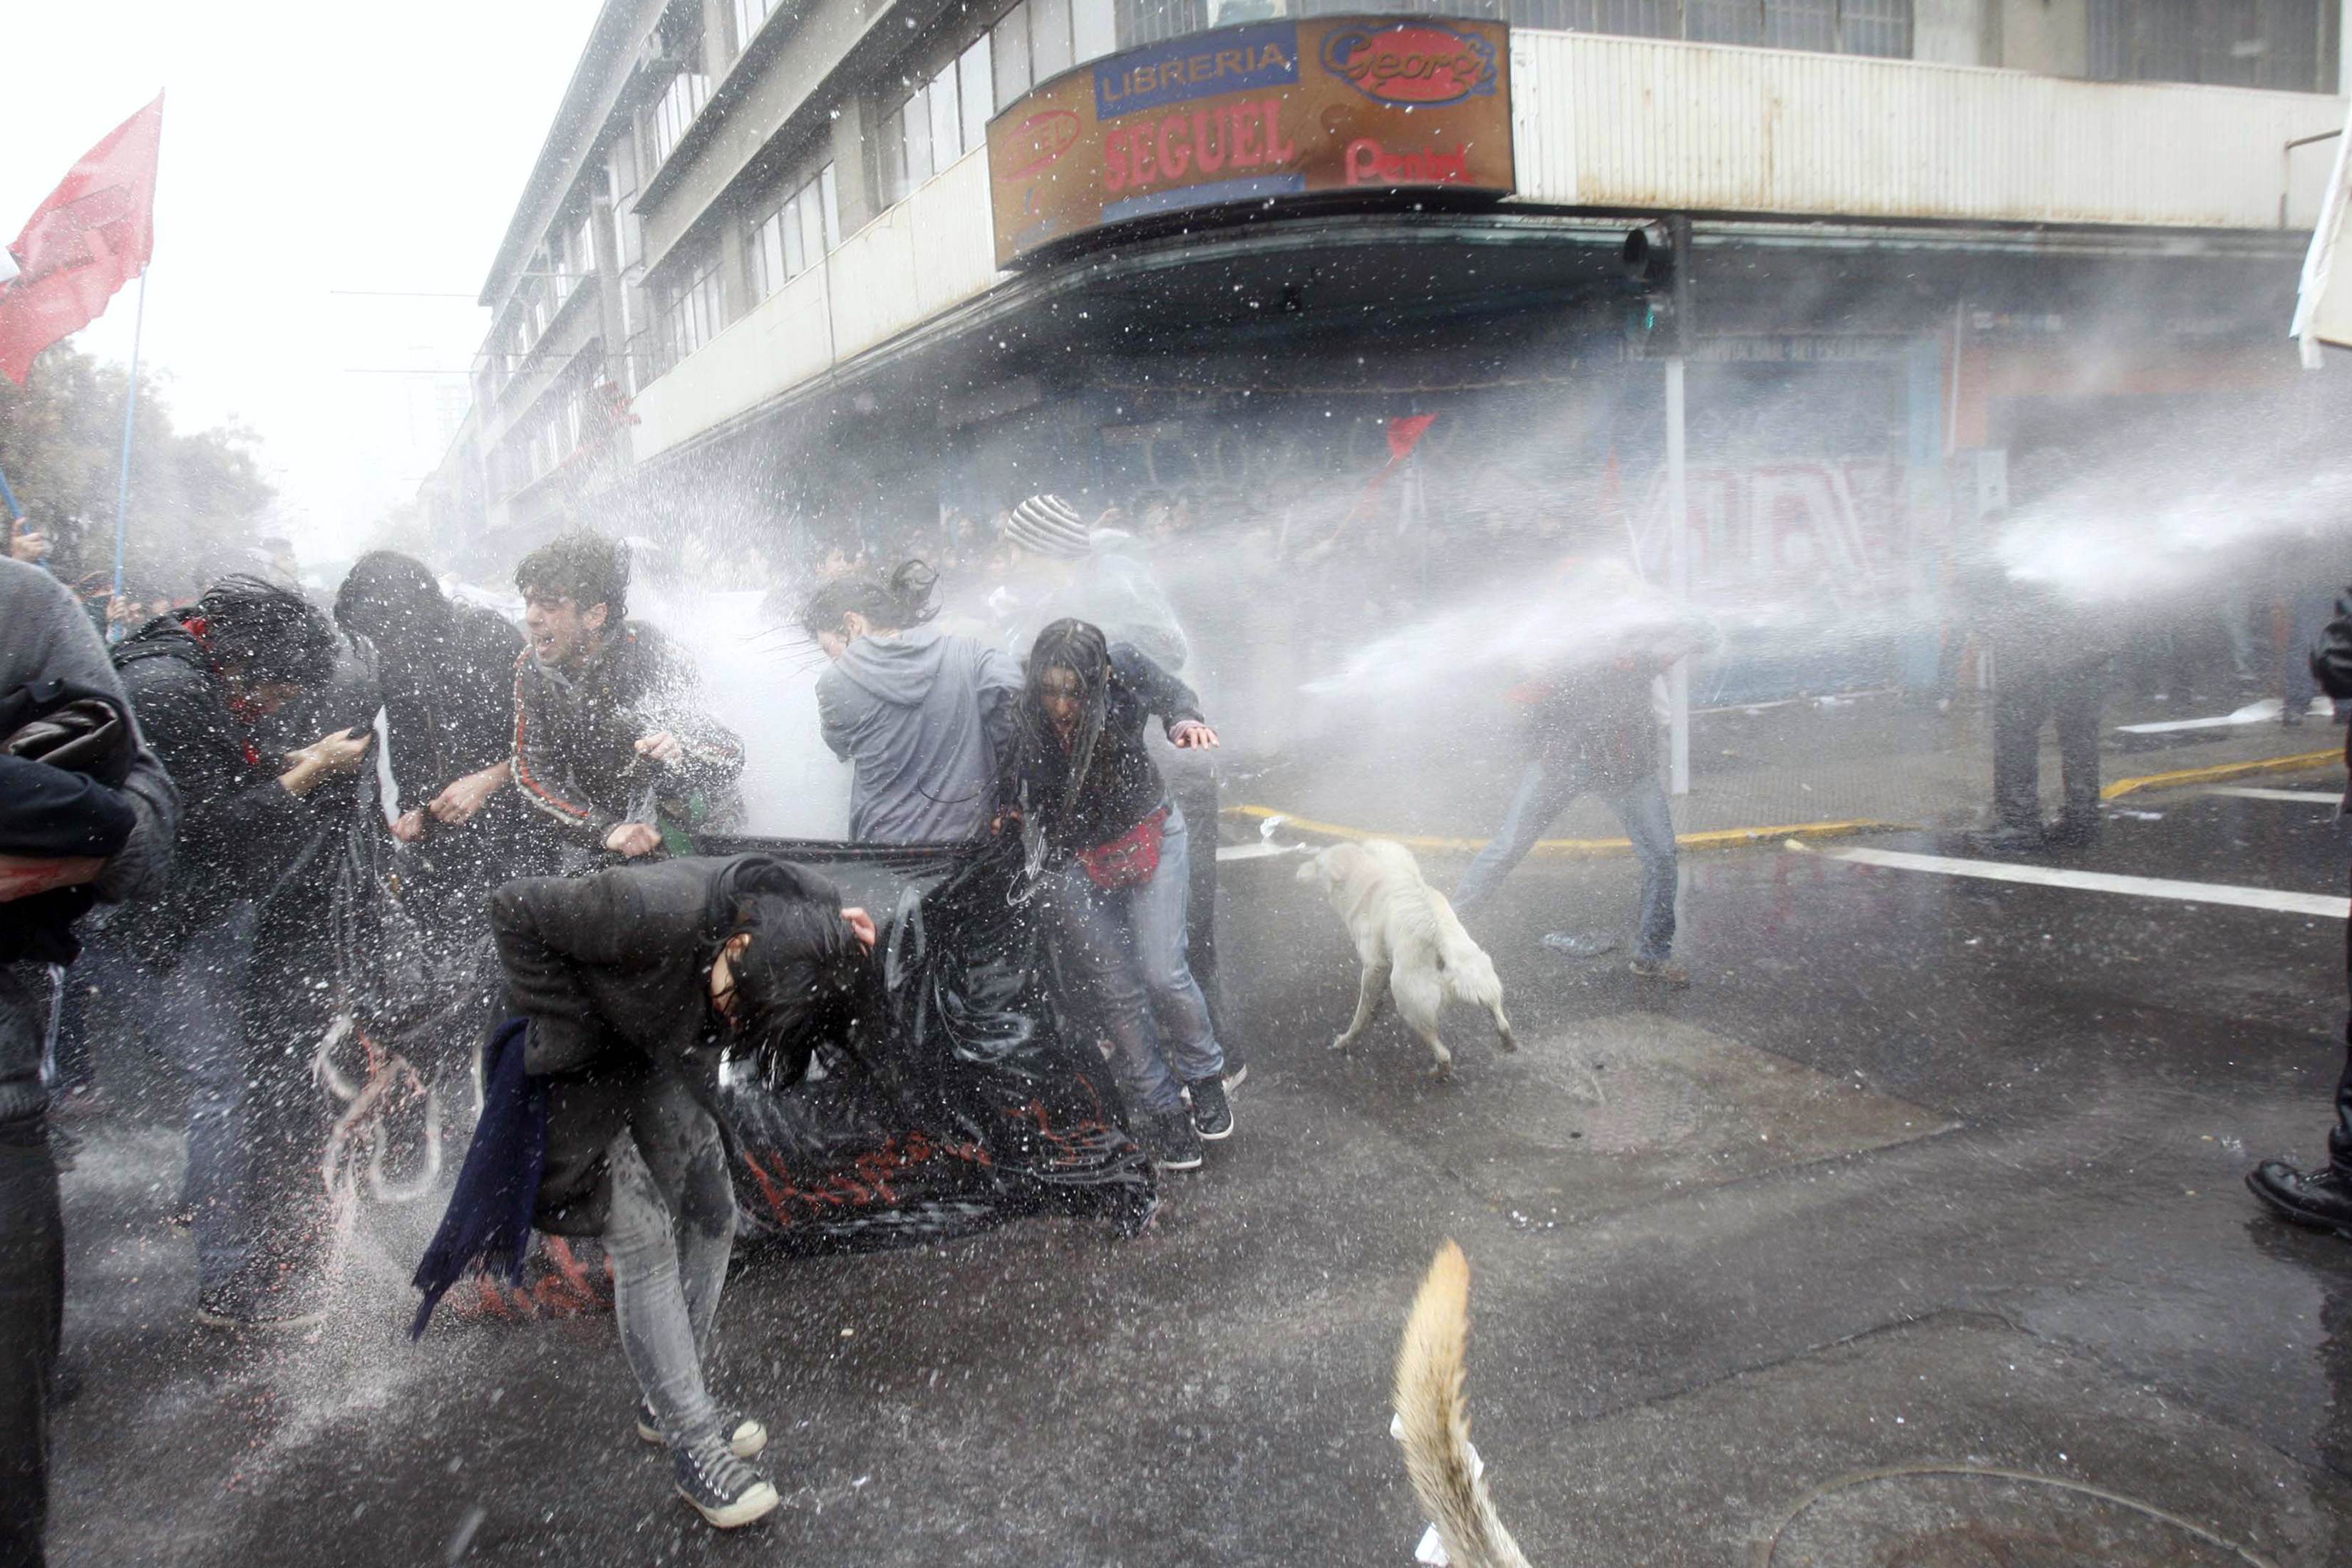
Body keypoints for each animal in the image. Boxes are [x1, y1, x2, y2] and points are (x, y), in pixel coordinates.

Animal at [1298, 846, 1515, 1081]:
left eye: (1317, 864)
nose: (1299, 870)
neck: (1367, 881)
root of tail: (1442, 944)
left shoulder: (1375, 965)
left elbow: (1362, 1010)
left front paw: (1350, 1035)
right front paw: (1376, 1006)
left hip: (1410, 1005)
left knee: (1444, 1054)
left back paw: (1435, 1072)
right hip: (1482, 980)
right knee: (1501, 1020)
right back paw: (1508, 1042)